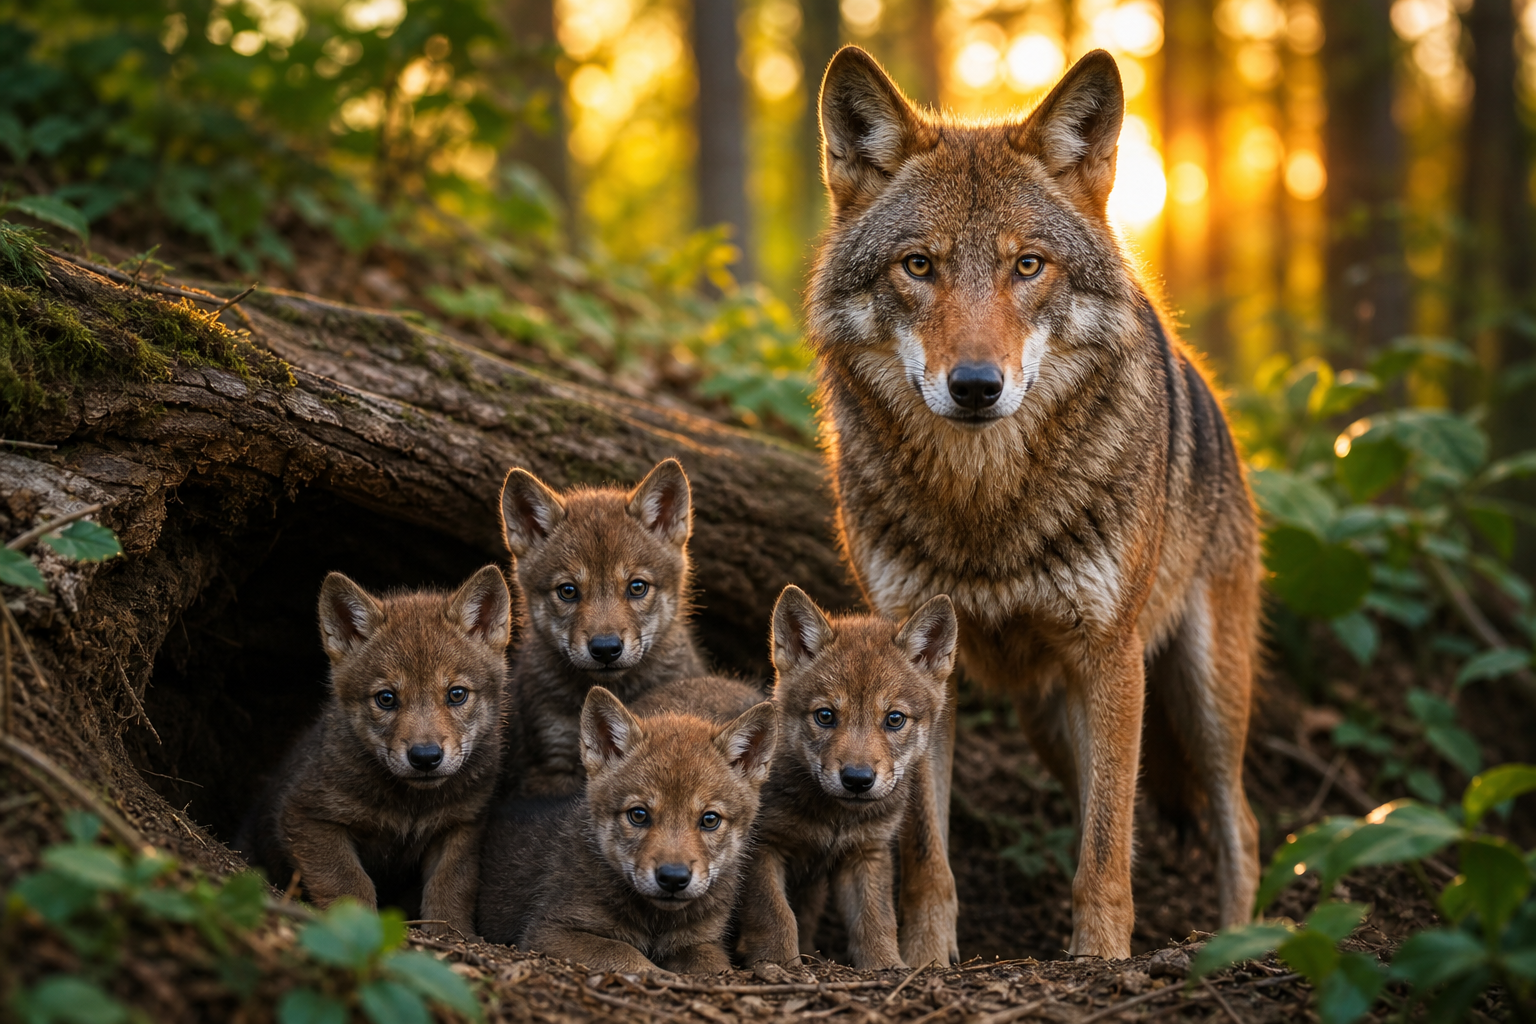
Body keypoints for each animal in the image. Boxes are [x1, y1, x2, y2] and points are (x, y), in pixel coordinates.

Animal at [238, 566, 512, 937]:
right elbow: (349, 882)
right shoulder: (305, 816)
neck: (411, 808)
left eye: (456, 694)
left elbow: (451, 887)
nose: (425, 757)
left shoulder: (462, 823)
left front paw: (451, 934)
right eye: (386, 698)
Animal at [477, 685, 776, 974]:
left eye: (710, 819)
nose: (673, 878)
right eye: (639, 815)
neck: (657, 922)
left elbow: (713, 968)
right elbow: (627, 955)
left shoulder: (702, 942)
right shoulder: (548, 930)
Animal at [737, 586, 957, 971]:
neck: (836, 820)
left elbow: (875, 919)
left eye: (894, 719)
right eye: (825, 716)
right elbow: (776, 915)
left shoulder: (866, 851)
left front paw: (887, 965)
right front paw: (779, 964)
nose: (857, 779)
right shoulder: (763, 845)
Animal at [806, 47, 1263, 961]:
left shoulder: (1112, 655)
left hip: (1201, 695)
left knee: (1240, 823)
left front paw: (1102, 959)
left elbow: (1106, 849)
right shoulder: (920, 669)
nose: (977, 386)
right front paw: (926, 961)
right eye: (919, 265)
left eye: (1028, 265)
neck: (987, 504)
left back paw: (1239, 942)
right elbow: (927, 854)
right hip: (1056, 722)